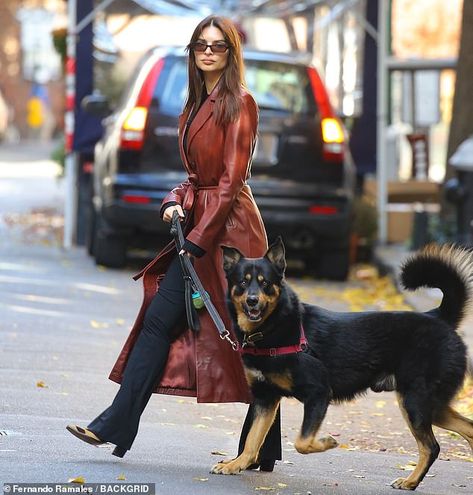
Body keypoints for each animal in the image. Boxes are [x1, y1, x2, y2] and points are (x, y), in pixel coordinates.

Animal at [211, 240, 472, 492]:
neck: (273, 329)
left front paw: (327, 442)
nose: (252, 300)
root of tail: (438, 317)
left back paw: (410, 481)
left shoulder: (318, 393)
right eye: (242, 283)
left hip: (415, 403)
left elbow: (302, 442)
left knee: (431, 447)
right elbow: (252, 441)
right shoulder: (266, 399)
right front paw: (236, 465)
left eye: (265, 283)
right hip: (430, 406)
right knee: (467, 430)